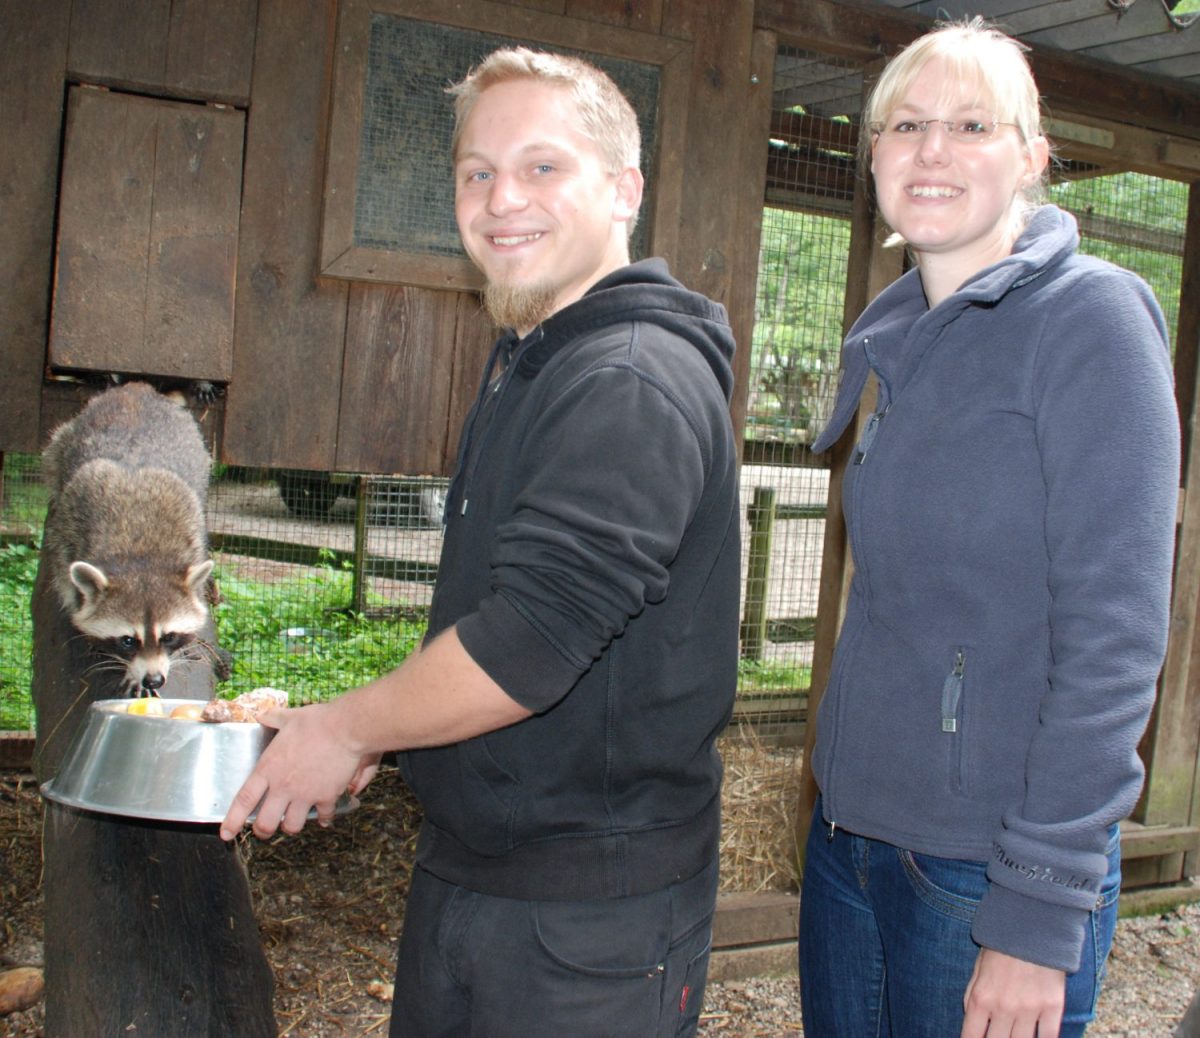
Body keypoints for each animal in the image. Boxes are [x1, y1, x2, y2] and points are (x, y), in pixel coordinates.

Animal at [41, 381, 218, 696]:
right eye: (127, 640)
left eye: (169, 636)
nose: (154, 679)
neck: (140, 554)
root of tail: (137, 389)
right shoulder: (68, 531)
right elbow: (66, 582)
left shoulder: (193, 537)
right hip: (62, 442)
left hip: (199, 451)